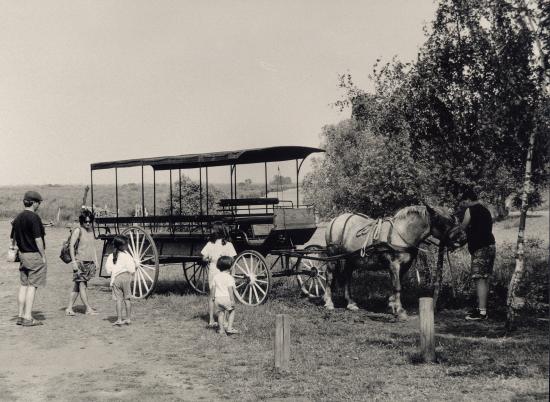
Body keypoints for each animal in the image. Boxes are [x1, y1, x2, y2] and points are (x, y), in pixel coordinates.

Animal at [326, 206, 464, 318]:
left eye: (452, 219)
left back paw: (351, 303)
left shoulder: (405, 266)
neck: (402, 233)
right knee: (329, 277)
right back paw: (329, 303)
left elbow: (397, 285)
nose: (462, 238)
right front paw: (400, 310)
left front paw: (392, 304)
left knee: (347, 278)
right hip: (333, 257)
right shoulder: (394, 264)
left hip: (350, 259)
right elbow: (397, 286)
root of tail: (334, 220)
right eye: (441, 221)